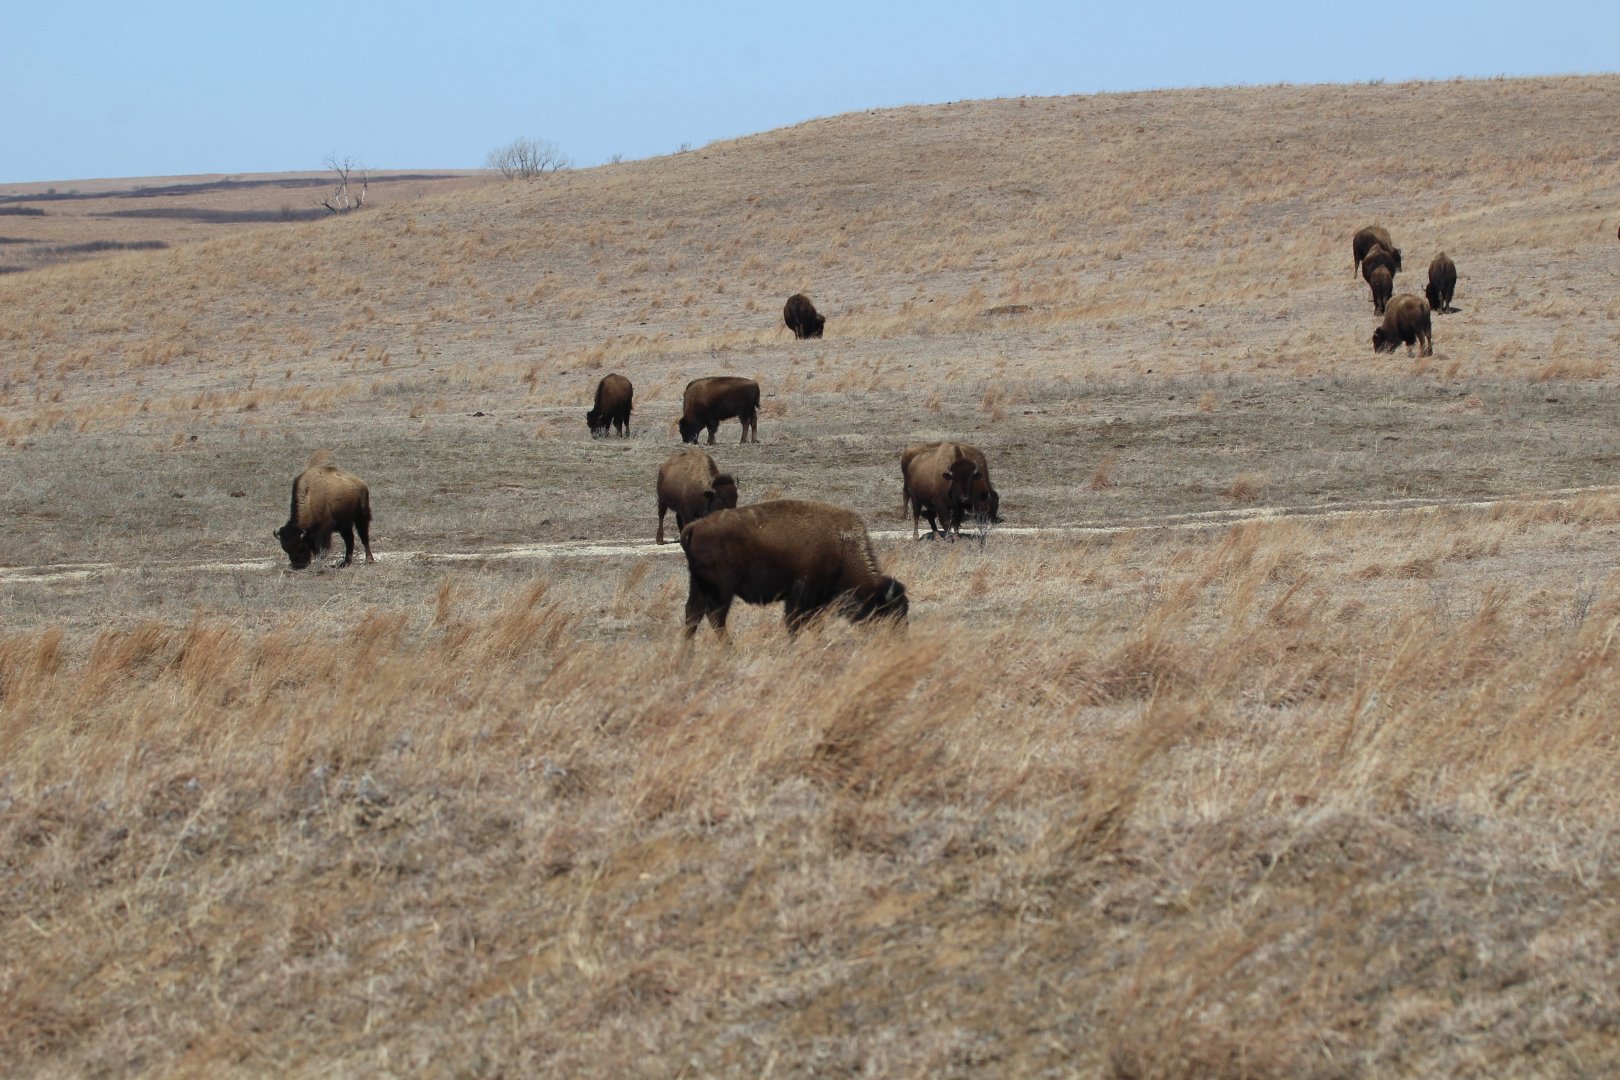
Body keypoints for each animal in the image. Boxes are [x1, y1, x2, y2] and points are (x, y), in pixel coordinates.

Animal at [680, 500, 908, 636]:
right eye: (887, 613)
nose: (900, 636)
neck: (842, 547)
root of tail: (695, 526)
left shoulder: (818, 601)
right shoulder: (800, 595)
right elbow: (794, 624)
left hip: (699, 583)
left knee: (693, 615)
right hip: (721, 589)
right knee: (715, 617)